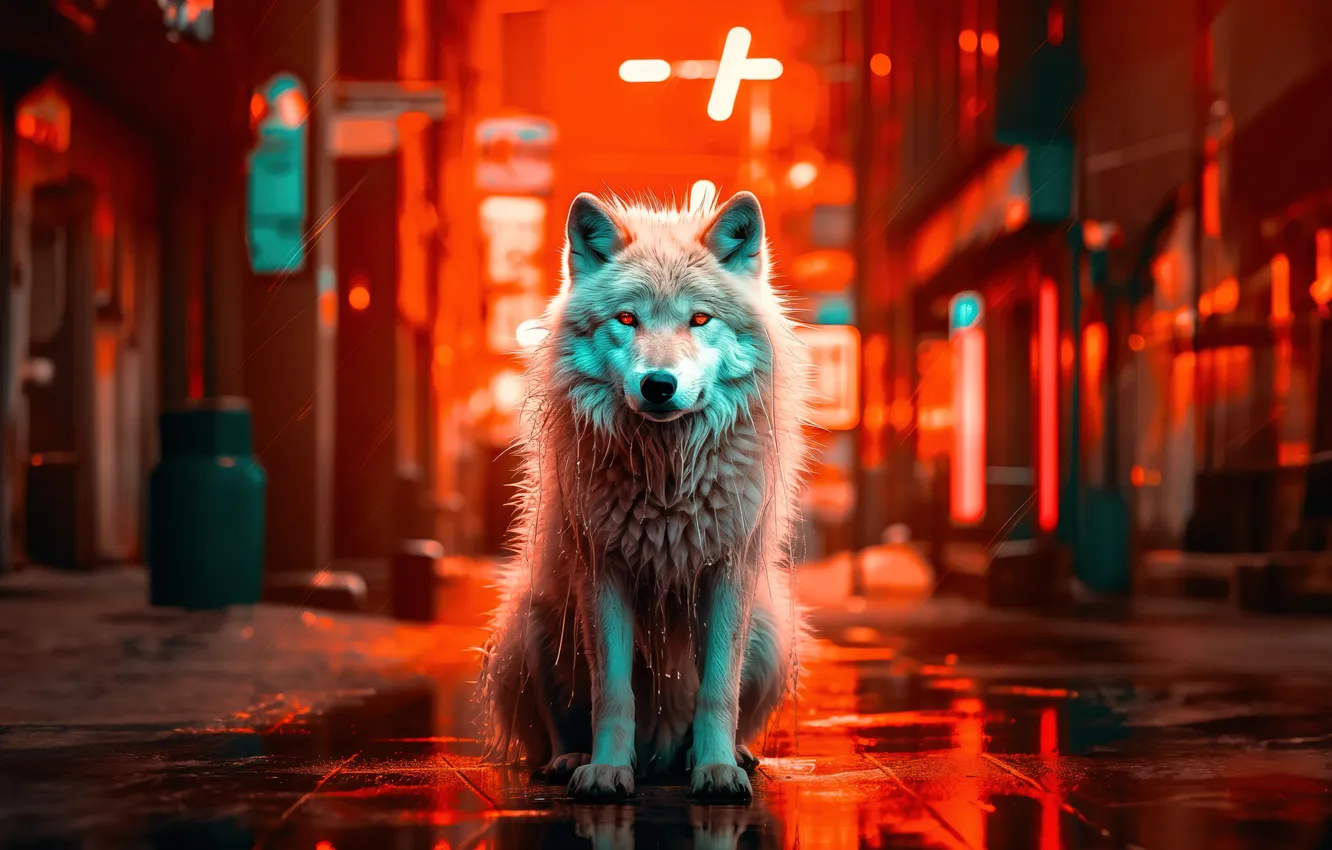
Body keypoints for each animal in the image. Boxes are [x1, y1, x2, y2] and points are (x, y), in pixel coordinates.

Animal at [478, 189, 810, 804]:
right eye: (627, 319)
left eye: (699, 318)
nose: (659, 384)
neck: (667, 479)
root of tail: (659, 754)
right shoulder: (604, 572)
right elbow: (612, 693)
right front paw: (607, 771)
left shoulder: (727, 571)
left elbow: (718, 691)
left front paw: (716, 769)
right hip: (532, 622)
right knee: (557, 727)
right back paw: (571, 760)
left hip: (772, 629)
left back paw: (724, 756)